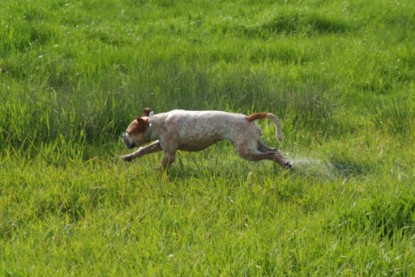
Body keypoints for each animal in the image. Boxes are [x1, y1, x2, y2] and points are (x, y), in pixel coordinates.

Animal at [120, 107, 292, 168]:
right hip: (254, 144)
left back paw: (285, 164)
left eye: (129, 132)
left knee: (272, 154)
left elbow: (163, 166)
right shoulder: (159, 144)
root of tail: (247, 118)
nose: (122, 136)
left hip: (245, 151)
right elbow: (142, 150)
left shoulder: (169, 152)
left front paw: (157, 175)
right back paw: (287, 164)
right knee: (274, 150)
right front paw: (128, 157)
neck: (155, 123)